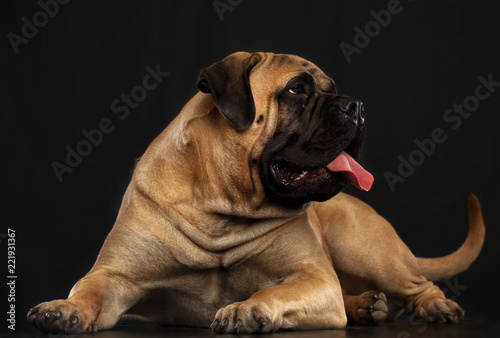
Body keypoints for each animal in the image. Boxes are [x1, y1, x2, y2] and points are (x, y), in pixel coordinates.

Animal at [26, 51, 484, 334]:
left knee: (417, 284)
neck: (221, 209)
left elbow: (274, 289)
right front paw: (62, 308)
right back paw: (364, 306)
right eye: (297, 89)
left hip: (366, 248)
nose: (356, 106)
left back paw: (435, 306)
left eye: (332, 88)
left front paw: (247, 308)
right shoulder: (116, 275)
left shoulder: (312, 276)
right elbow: (89, 289)